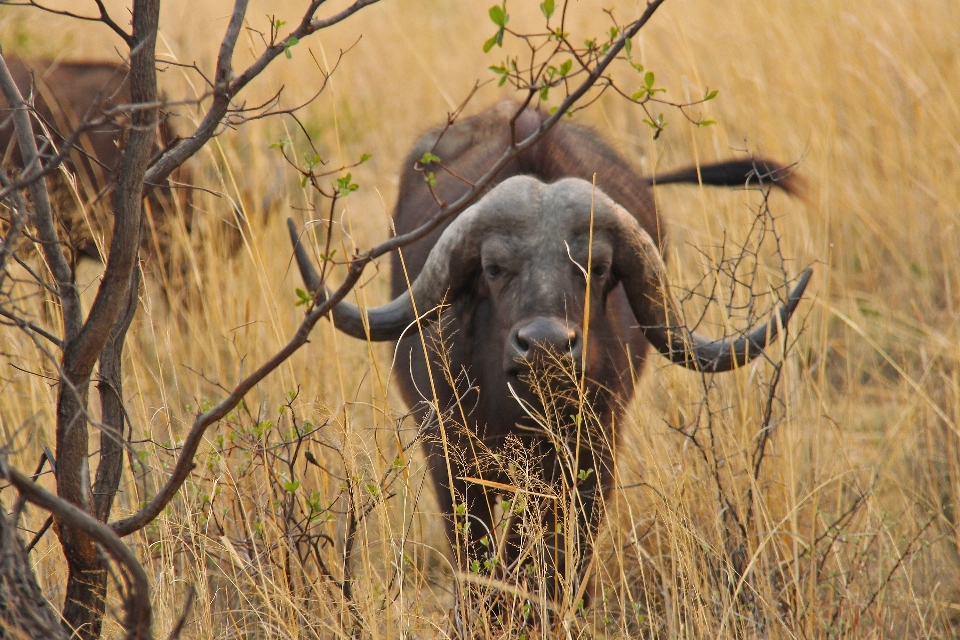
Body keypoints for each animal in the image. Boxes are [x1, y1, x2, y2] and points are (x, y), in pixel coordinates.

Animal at [290, 102, 808, 604]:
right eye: (494, 267)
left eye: (597, 267)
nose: (544, 344)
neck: (518, 410)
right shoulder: (449, 458)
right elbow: (478, 554)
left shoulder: (590, 461)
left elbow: (546, 553)